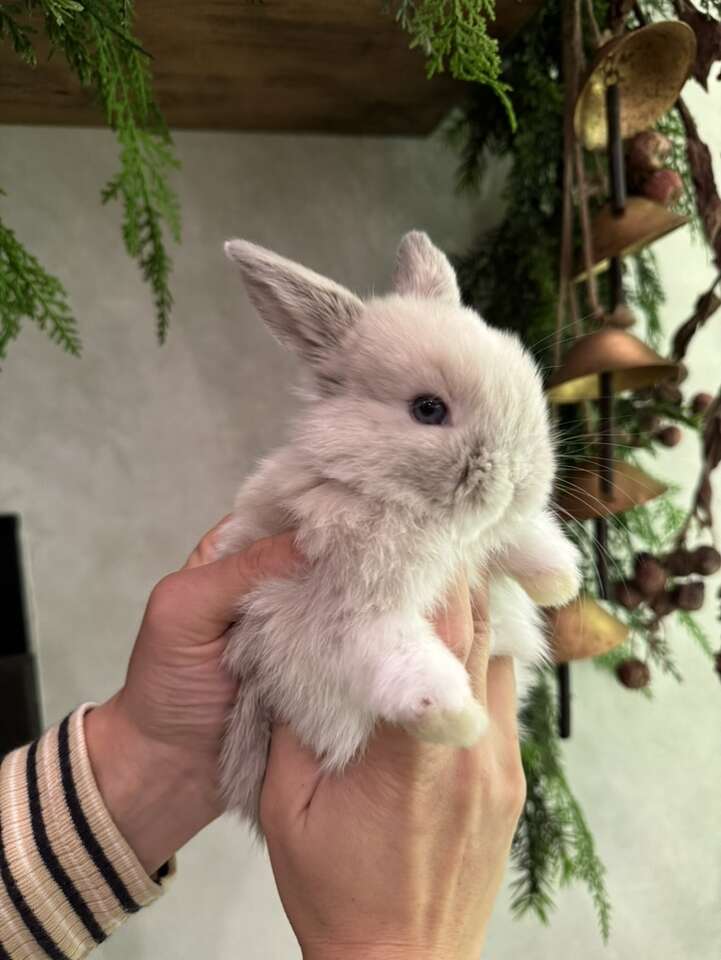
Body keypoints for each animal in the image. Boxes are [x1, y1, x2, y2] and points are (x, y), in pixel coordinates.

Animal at [215, 229, 580, 828]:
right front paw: (456, 719)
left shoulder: (478, 541)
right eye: (427, 409)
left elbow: (515, 537)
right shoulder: (344, 609)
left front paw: (560, 579)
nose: (518, 477)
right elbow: (400, 655)